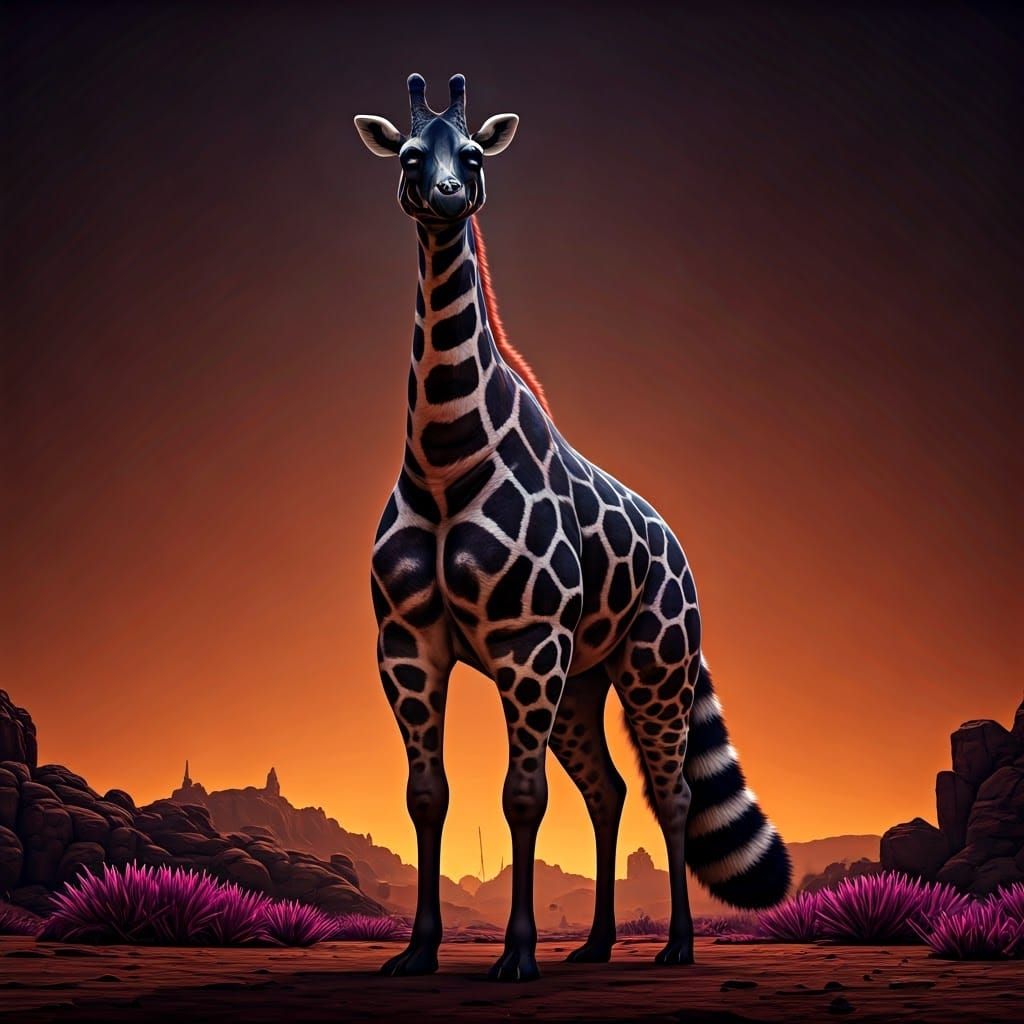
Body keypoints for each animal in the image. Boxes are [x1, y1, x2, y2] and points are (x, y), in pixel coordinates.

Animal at [355, 74, 791, 982]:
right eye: (409, 156)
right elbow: (427, 797)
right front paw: (418, 950)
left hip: (654, 666)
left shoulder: (527, 643)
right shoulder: (407, 647)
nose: (446, 196)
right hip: (584, 681)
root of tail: (681, 552)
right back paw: (594, 943)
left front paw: (518, 954)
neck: (443, 459)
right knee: (608, 790)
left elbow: (522, 799)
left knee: (672, 792)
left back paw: (676, 946)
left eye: (473, 154)